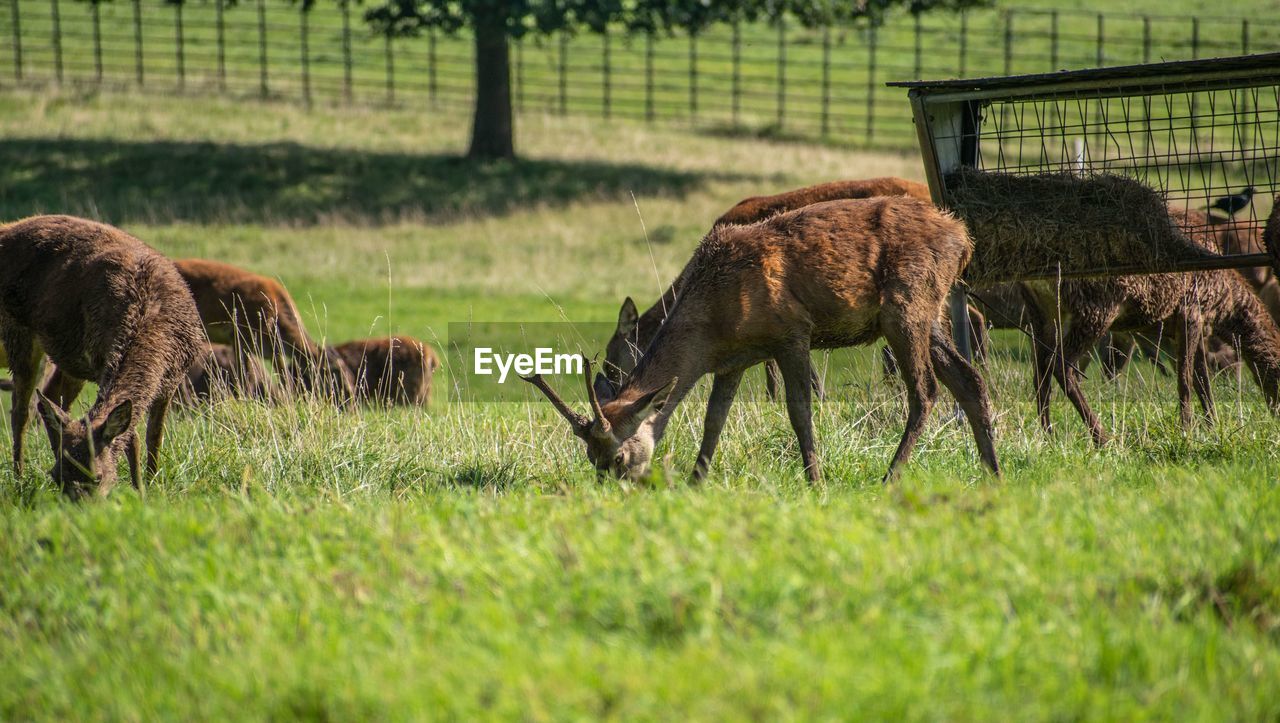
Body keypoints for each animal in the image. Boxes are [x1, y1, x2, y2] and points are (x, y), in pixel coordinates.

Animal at [0, 213, 203, 496]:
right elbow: (133, 435)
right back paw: (18, 480)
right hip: (17, 330)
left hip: (68, 359)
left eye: (97, 477)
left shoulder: (173, 377)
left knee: (49, 399)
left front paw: (150, 485)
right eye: (56, 477)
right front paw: (140, 488)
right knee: (20, 411)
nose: (74, 504)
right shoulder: (101, 362)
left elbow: (154, 435)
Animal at [172, 258, 355, 406]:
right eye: (336, 373)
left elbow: (284, 379)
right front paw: (244, 404)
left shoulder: (273, 351)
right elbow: (246, 377)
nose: (351, 399)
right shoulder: (239, 335)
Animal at [522, 194, 998, 481]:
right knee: (969, 380)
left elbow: (800, 410)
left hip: (906, 303)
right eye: (590, 458)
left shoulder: (792, 332)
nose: (615, 490)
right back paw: (993, 474)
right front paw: (695, 482)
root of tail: (963, 238)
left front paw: (815, 480)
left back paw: (890, 476)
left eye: (618, 457)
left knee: (926, 390)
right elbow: (714, 420)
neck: (715, 321)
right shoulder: (731, 361)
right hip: (925, 314)